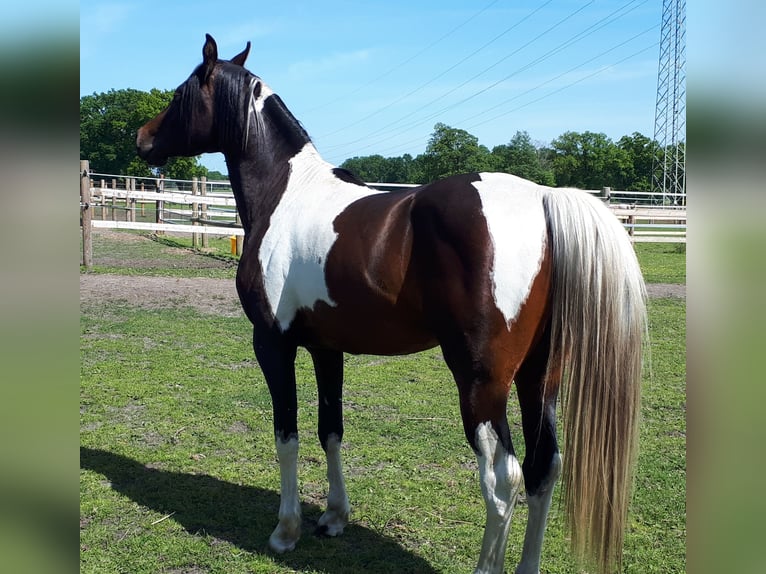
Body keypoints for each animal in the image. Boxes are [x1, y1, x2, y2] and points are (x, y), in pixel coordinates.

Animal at [137, 35, 647, 574]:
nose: (142, 138)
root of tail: (544, 201)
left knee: (502, 478)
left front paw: (285, 530)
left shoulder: (273, 344)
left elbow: (287, 436)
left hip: (481, 384)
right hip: (540, 376)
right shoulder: (327, 348)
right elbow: (331, 429)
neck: (285, 194)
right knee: (542, 467)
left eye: (180, 93)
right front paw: (333, 518)